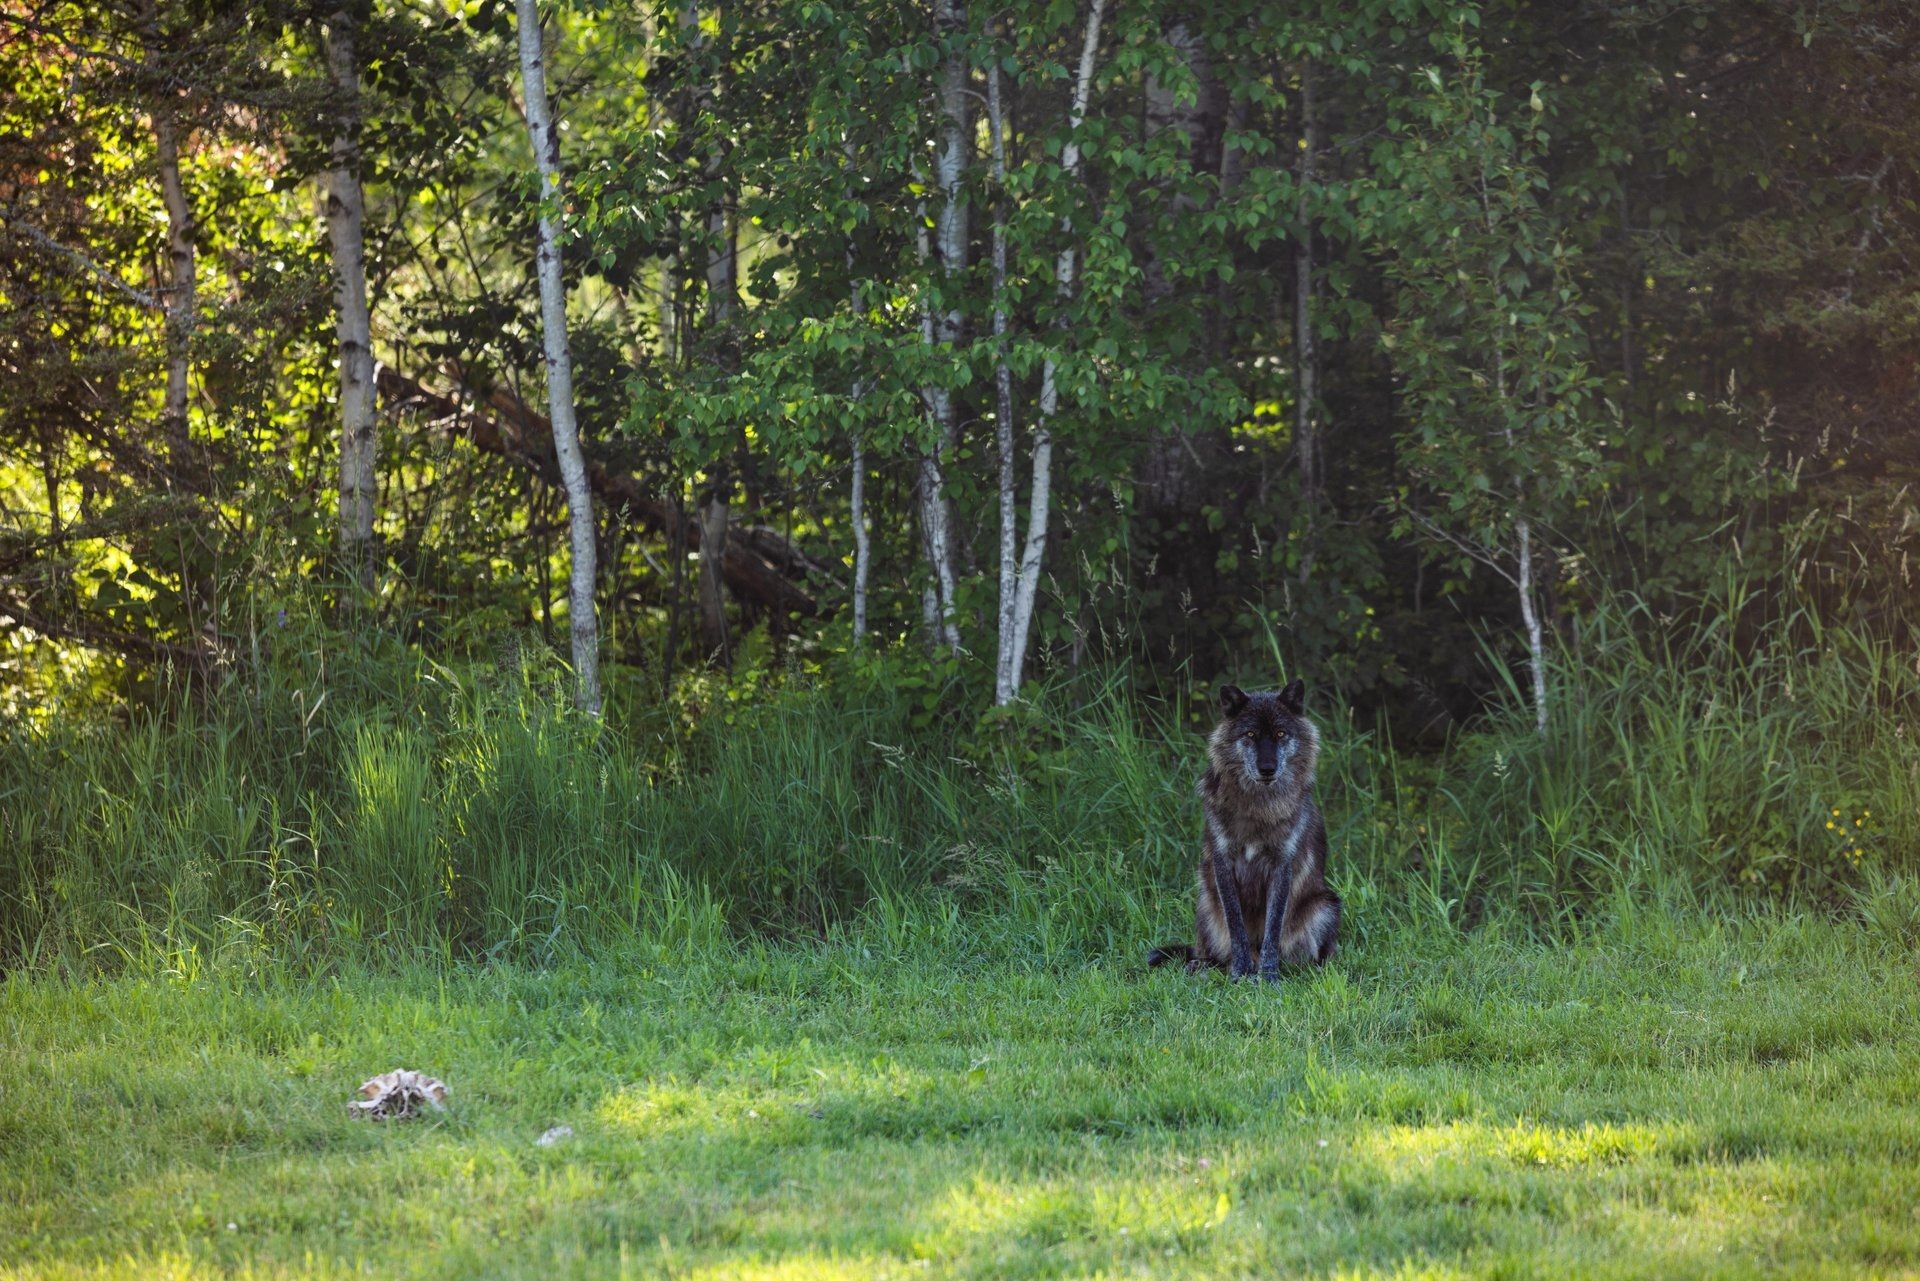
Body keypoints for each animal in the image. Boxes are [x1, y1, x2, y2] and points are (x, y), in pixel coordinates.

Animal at [1147, 681, 1341, 979]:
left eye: (1281, 733)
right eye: (1250, 734)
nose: (1267, 769)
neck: (1258, 809)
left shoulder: (1282, 866)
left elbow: (1273, 930)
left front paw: (1268, 976)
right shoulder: (1223, 863)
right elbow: (1236, 928)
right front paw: (1240, 973)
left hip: (1325, 906)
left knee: (1313, 956)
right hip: (1205, 903)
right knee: (1211, 954)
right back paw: (1204, 966)